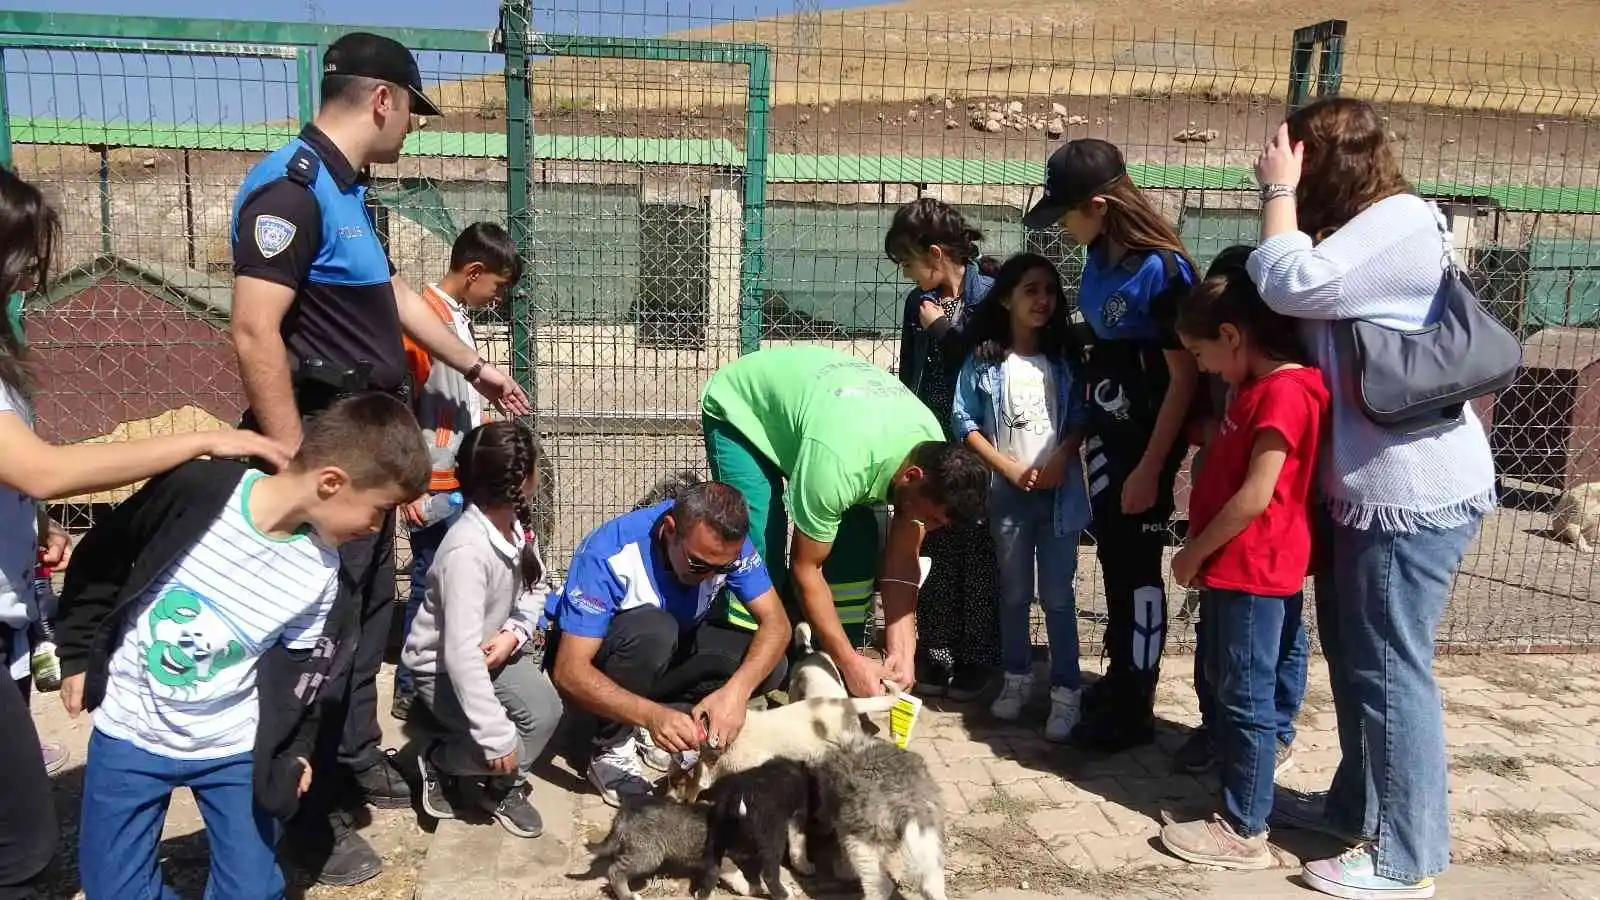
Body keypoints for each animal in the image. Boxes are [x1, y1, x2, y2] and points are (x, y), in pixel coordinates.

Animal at [819, 730, 940, 896]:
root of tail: (905, 795)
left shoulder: (841, 822)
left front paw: (844, 872)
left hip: (862, 843)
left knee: (881, 887)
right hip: (927, 837)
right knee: (931, 883)